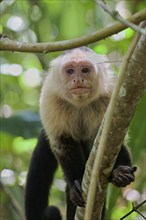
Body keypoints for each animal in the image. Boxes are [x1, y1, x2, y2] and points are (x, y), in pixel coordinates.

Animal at [25, 46, 137, 220]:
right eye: (70, 71)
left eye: (85, 70)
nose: (78, 80)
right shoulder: (50, 99)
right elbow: (62, 142)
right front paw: (75, 183)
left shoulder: (111, 95)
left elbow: (112, 137)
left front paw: (119, 171)